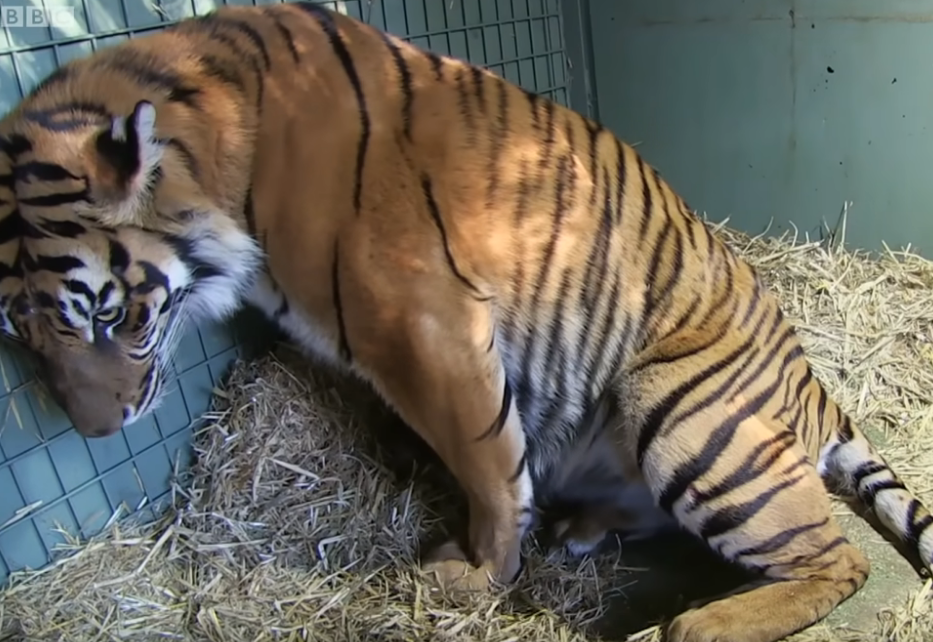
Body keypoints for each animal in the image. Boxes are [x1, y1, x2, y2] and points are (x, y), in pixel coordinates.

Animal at [1, 2, 932, 636]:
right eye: (24, 333)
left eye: (110, 316)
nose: (97, 430)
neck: (224, 147)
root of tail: (814, 386)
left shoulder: (423, 323)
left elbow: (486, 464)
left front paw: (476, 576)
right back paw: (581, 528)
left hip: (681, 410)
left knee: (836, 557)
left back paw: (697, 624)